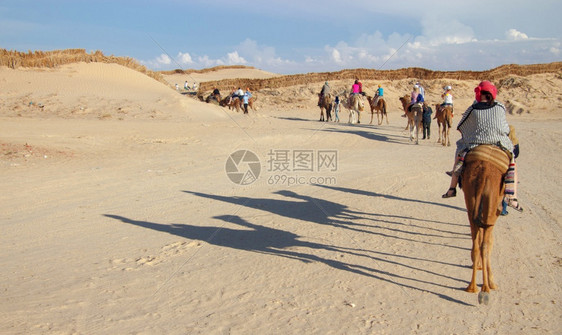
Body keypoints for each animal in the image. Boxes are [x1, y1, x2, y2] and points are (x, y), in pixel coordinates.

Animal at [458, 146, 510, 306]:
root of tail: (483, 174)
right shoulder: (496, 209)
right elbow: (489, 241)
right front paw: (492, 282)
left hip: (470, 196)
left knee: (476, 241)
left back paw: (472, 287)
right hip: (491, 202)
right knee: (485, 244)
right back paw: (485, 289)